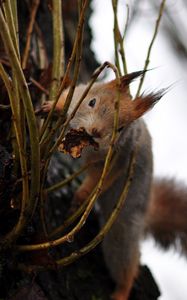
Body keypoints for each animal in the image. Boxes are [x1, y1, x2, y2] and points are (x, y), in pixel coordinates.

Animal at [41, 71, 187, 300]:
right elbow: (67, 97)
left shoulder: (117, 159)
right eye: (92, 102)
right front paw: (51, 106)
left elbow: (98, 180)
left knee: (127, 268)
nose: (96, 132)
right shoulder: (80, 92)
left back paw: (120, 293)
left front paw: (81, 195)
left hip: (122, 231)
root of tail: (146, 211)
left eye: (120, 128)